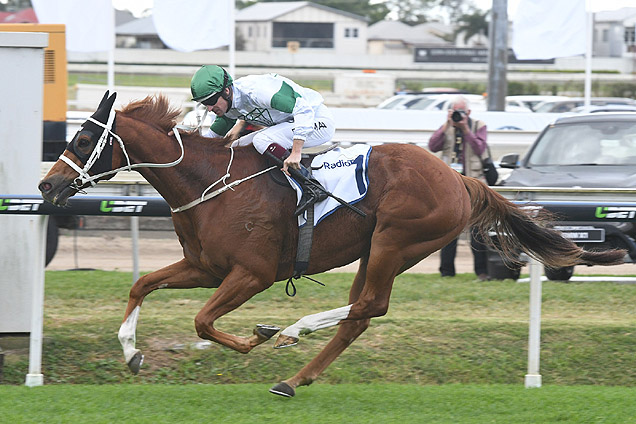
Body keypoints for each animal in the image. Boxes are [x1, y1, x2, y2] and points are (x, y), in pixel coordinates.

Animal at [38, 93, 620, 398]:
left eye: (84, 140)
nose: (46, 186)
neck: (210, 182)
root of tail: (461, 178)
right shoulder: (205, 267)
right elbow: (141, 285)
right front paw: (132, 353)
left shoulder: (251, 274)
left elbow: (203, 322)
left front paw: (257, 336)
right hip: (376, 250)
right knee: (360, 314)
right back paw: (295, 378)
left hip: (394, 240)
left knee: (369, 305)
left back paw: (292, 332)